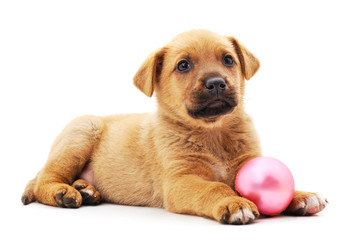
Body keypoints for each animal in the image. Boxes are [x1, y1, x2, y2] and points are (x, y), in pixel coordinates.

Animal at [22, 30, 328, 225]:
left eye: (228, 59)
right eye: (183, 65)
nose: (217, 83)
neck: (213, 133)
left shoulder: (247, 161)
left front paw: (301, 196)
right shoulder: (180, 181)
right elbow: (215, 188)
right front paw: (234, 203)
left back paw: (86, 189)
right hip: (82, 131)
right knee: (43, 179)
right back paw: (64, 193)